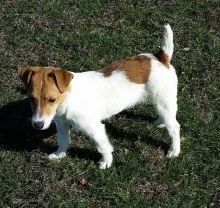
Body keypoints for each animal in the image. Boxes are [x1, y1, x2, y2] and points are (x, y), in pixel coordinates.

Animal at [18, 24, 180, 169]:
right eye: (31, 99)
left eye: (52, 100)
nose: (38, 125)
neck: (68, 99)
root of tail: (161, 58)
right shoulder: (61, 123)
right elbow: (63, 140)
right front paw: (60, 154)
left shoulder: (93, 128)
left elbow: (102, 146)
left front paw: (106, 162)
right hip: (161, 103)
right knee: (167, 118)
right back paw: (160, 122)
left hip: (164, 101)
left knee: (174, 127)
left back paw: (174, 150)